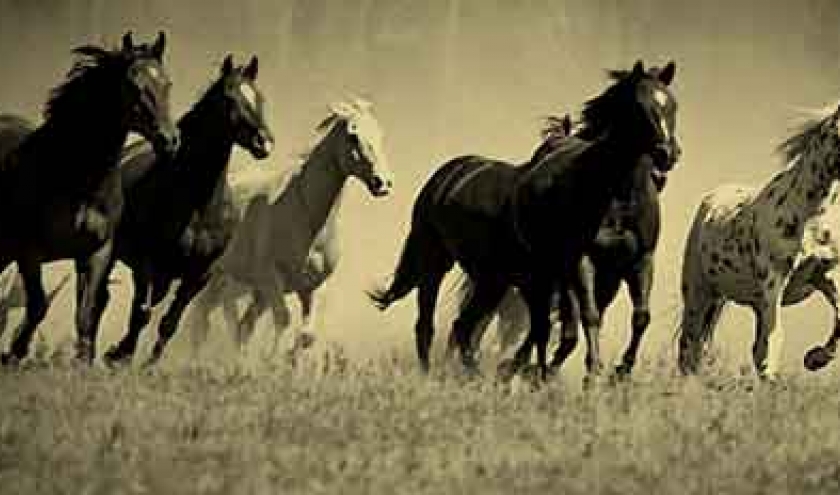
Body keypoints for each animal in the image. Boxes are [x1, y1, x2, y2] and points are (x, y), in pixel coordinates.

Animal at [0, 32, 179, 365]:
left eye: (167, 84)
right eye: (133, 86)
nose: (170, 140)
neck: (79, 180)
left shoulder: (96, 253)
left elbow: (86, 313)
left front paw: (82, 361)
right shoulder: (29, 251)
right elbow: (38, 306)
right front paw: (14, 353)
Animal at [97, 55, 274, 367]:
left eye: (259, 97)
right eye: (229, 99)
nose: (263, 142)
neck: (197, 205)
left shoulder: (197, 276)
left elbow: (169, 322)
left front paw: (148, 364)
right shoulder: (146, 264)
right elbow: (141, 313)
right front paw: (121, 356)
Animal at [186, 99, 393, 358]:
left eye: (380, 133)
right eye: (352, 136)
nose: (383, 183)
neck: (307, 221)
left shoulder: (312, 287)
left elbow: (306, 336)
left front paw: (287, 360)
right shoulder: (271, 278)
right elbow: (283, 320)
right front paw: (271, 360)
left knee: (230, 325)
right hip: (215, 279)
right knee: (202, 322)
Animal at [677, 102, 840, 380]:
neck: (810, 214)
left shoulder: (825, 274)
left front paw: (815, 359)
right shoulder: (773, 282)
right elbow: (773, 341)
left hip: (748, 301)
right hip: (700, 292)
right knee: (690, 345)